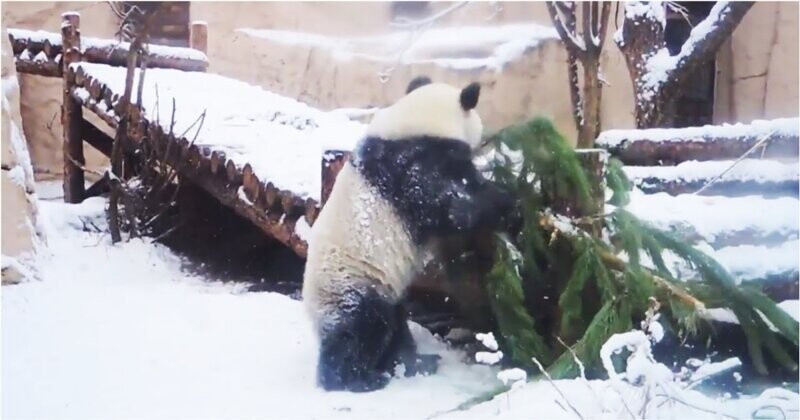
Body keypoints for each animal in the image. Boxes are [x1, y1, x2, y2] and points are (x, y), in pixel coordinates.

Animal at [300, 76, 512, 394]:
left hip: (386, 290)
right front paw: (510, 206)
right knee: (362, 329)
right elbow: (453, 206)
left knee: (397, 328)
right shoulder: (416, 164)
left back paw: (416, 363)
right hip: (352, 284)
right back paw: (357, 379)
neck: (418, 120)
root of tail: (312, 313)